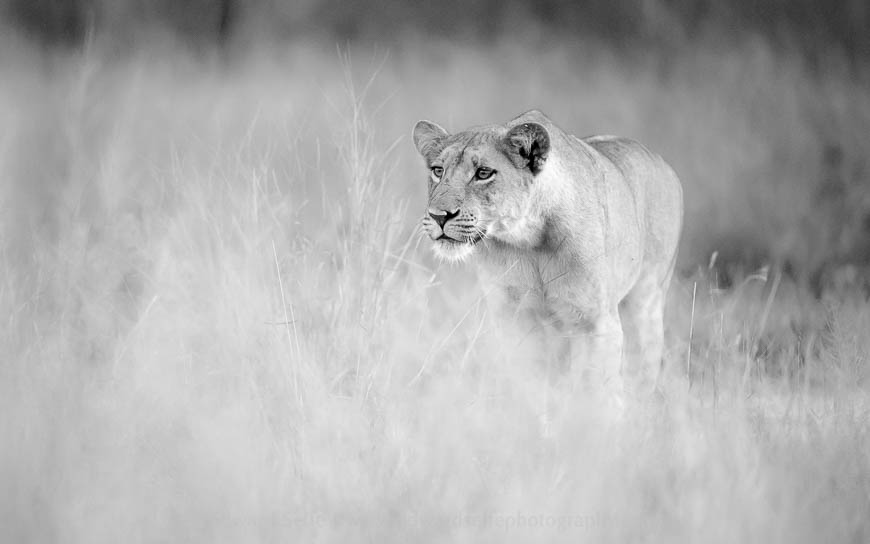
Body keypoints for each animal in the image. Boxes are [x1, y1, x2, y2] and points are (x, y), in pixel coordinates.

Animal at [413, 110, 683, 395]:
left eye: (483, 173)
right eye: (438, 171)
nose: (438, 216)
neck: (528, 241)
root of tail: (663, 163)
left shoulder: (596, 322)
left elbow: (595, 389)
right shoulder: (513, 319)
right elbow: (528, 383)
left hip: (646, 305)